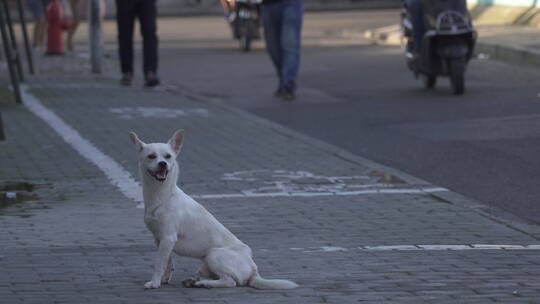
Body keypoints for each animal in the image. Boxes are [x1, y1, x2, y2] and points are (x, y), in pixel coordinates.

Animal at [131, 129, 300, 290]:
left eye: (168, 157)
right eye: (151, 156)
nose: (162, 164)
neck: (162, 196)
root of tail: (253, 269)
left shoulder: (168, 238)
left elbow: (159, 263)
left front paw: (154, 283)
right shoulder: (160, 239)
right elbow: (167, 262)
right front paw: (164, 280)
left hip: (213, 255)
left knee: (230, 281)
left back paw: (203, 284)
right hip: (205, 263)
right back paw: (194, 281)